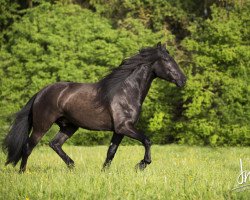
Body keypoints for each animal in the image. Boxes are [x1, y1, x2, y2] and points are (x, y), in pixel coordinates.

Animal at [1, 41, 186, 172]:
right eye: (167, 60)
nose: (183, 80)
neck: (126, 91)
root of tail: (41, 93)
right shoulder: (125, 127)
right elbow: (147, 140)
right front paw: (141, 164)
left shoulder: (119, 130)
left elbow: (111, 152)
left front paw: (104, 172)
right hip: (42, 125)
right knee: (28, 147)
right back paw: (22, 172)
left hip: (69, 126)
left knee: (55, 144)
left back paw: (72, 166)